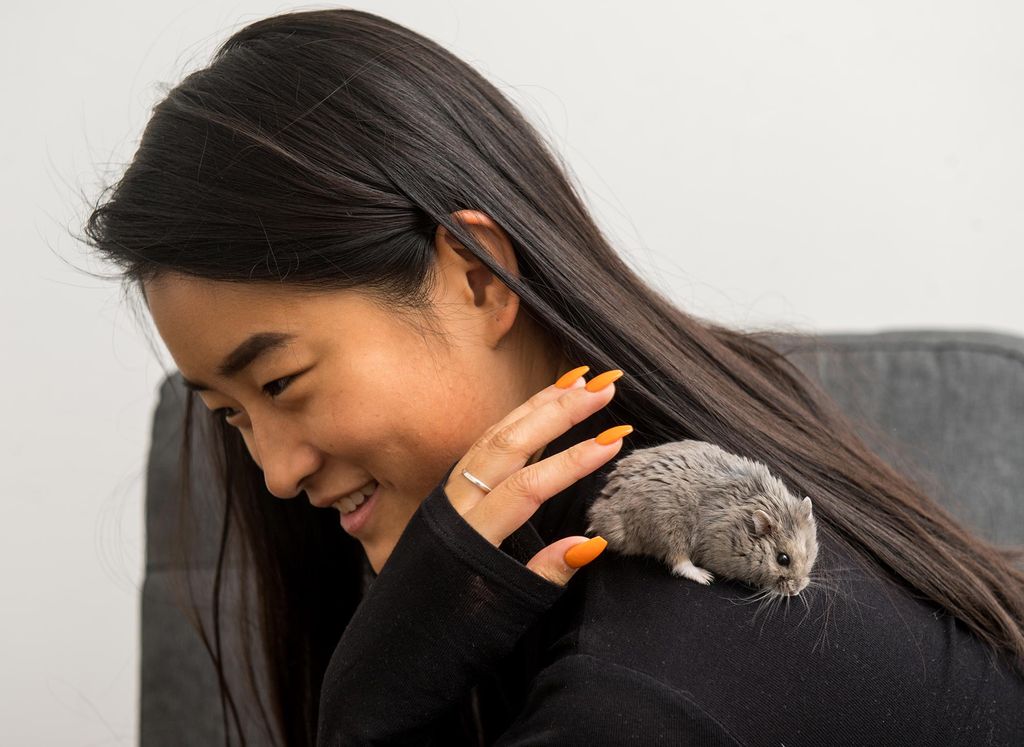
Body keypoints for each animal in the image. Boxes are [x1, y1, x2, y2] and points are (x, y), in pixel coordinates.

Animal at [589, 440, 819, 598]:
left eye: (809, 554)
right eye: (783, 559)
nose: (797, 591)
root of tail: (602, 513)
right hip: (669, 529)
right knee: (678, 561)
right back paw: (704, 577)